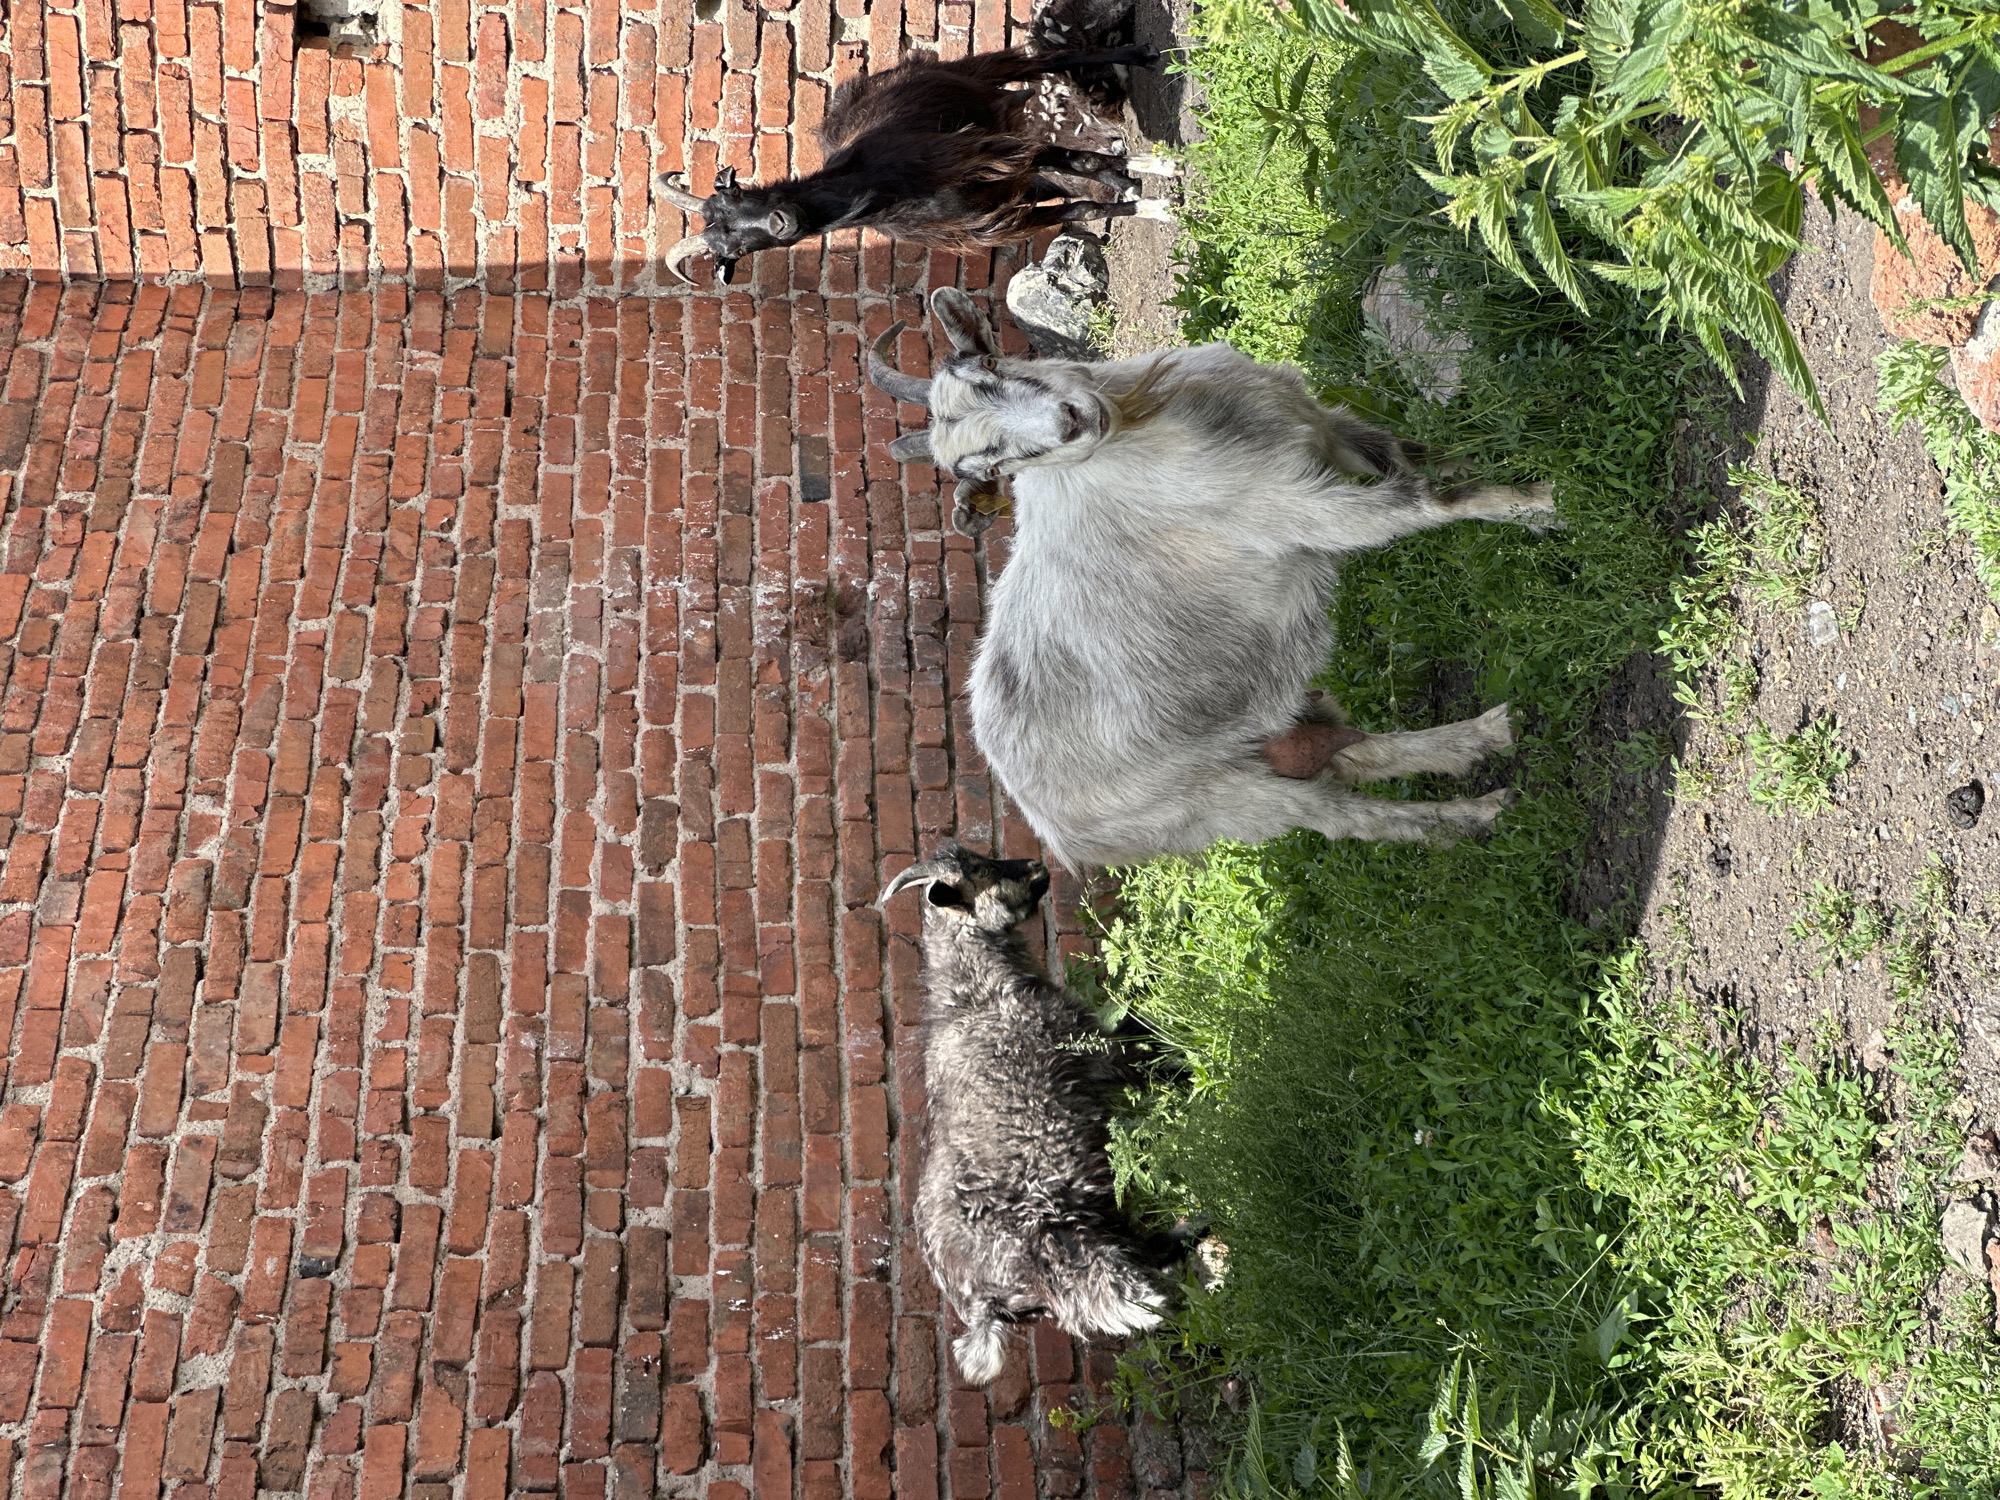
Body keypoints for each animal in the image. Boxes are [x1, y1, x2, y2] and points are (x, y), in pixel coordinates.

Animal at [656, 28, 1177, 285]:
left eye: (737, 197)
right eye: (733, 253)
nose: (781, 223)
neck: (882, 189)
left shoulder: (997, 152)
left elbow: (1079, 164)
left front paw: (1159, 191)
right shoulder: (1001, 216)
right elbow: (1082, 204)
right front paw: (1148, 200)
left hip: (980, 79)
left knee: (1048, 63)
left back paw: (1143, 57)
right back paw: (1131, 173)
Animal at [871, 288, 1560, 870]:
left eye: (989, 368)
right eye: (990, 464)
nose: (1070, 421)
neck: (1149, 424)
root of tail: (1048, 826)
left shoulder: (1318, 425)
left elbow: (1417, 457)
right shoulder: (1301, 511)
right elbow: (1428, 500)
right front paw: (1546, 504)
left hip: (1267, 727)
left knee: (1356, 751)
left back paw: (1485, 737)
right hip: (1225, 801)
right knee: (1348, 814)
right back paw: (1479, 812)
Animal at [882, 841, 1175, 1383]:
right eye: (980, 870)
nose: (1038, 867)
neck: (977, 991)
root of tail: (983, 1305)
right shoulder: (1090, 1048)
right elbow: (1145, 1056)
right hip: (1061, 1248)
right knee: (1114, 1298)